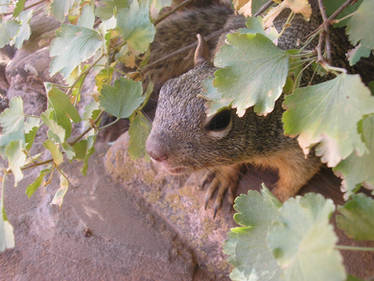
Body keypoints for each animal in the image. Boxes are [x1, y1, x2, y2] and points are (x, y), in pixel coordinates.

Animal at [146, 0, 374, 214]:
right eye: (166, 89)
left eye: (220, 121)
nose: (153, 151)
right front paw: (223, 177)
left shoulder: (305, 144)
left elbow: (296, 177)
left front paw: (276, 204)